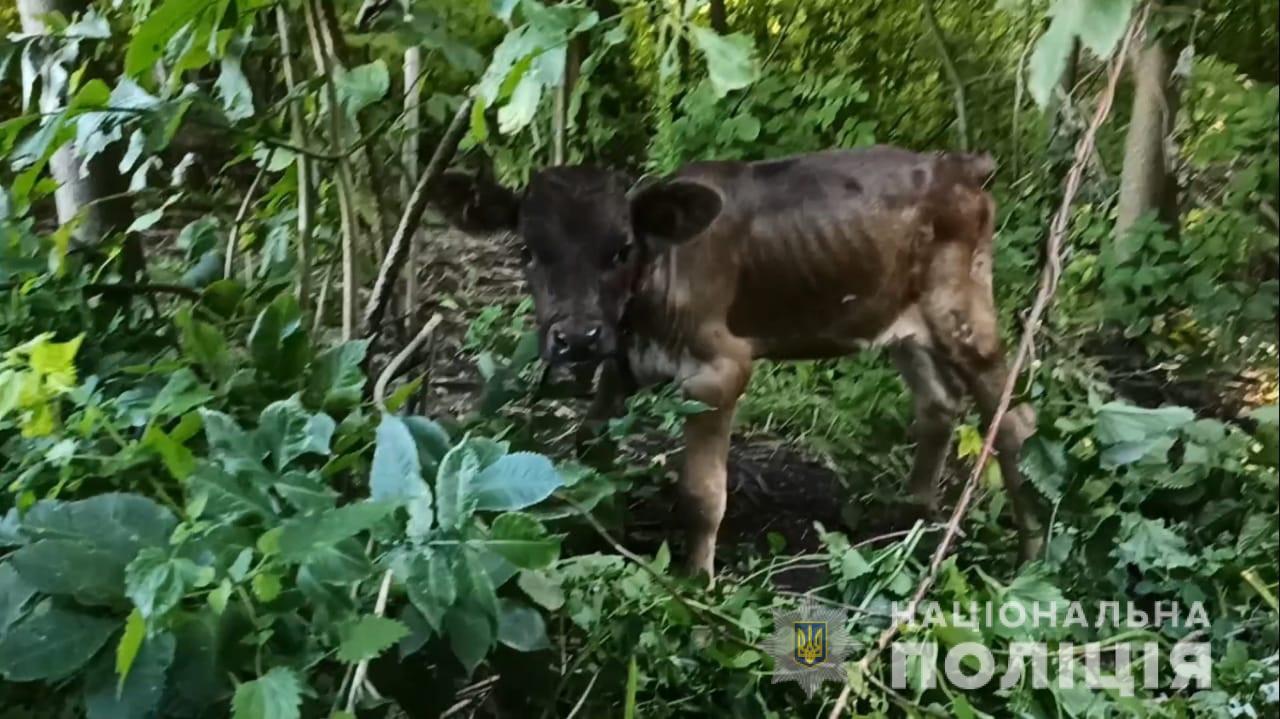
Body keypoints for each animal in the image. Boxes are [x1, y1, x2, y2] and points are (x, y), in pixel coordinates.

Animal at [435, 147, 1044, 575]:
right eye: (526, 250)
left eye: (621, 249)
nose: (577, 338)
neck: (656, 282)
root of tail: (957, 166)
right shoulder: (621, 364)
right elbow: (589, 447)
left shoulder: (719, 371)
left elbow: (702, 494)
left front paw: (695, 582)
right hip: (901, 323)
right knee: (938, 403)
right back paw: (910, 520)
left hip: (962, 309)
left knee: (1011, 421)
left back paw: (1030, 555)